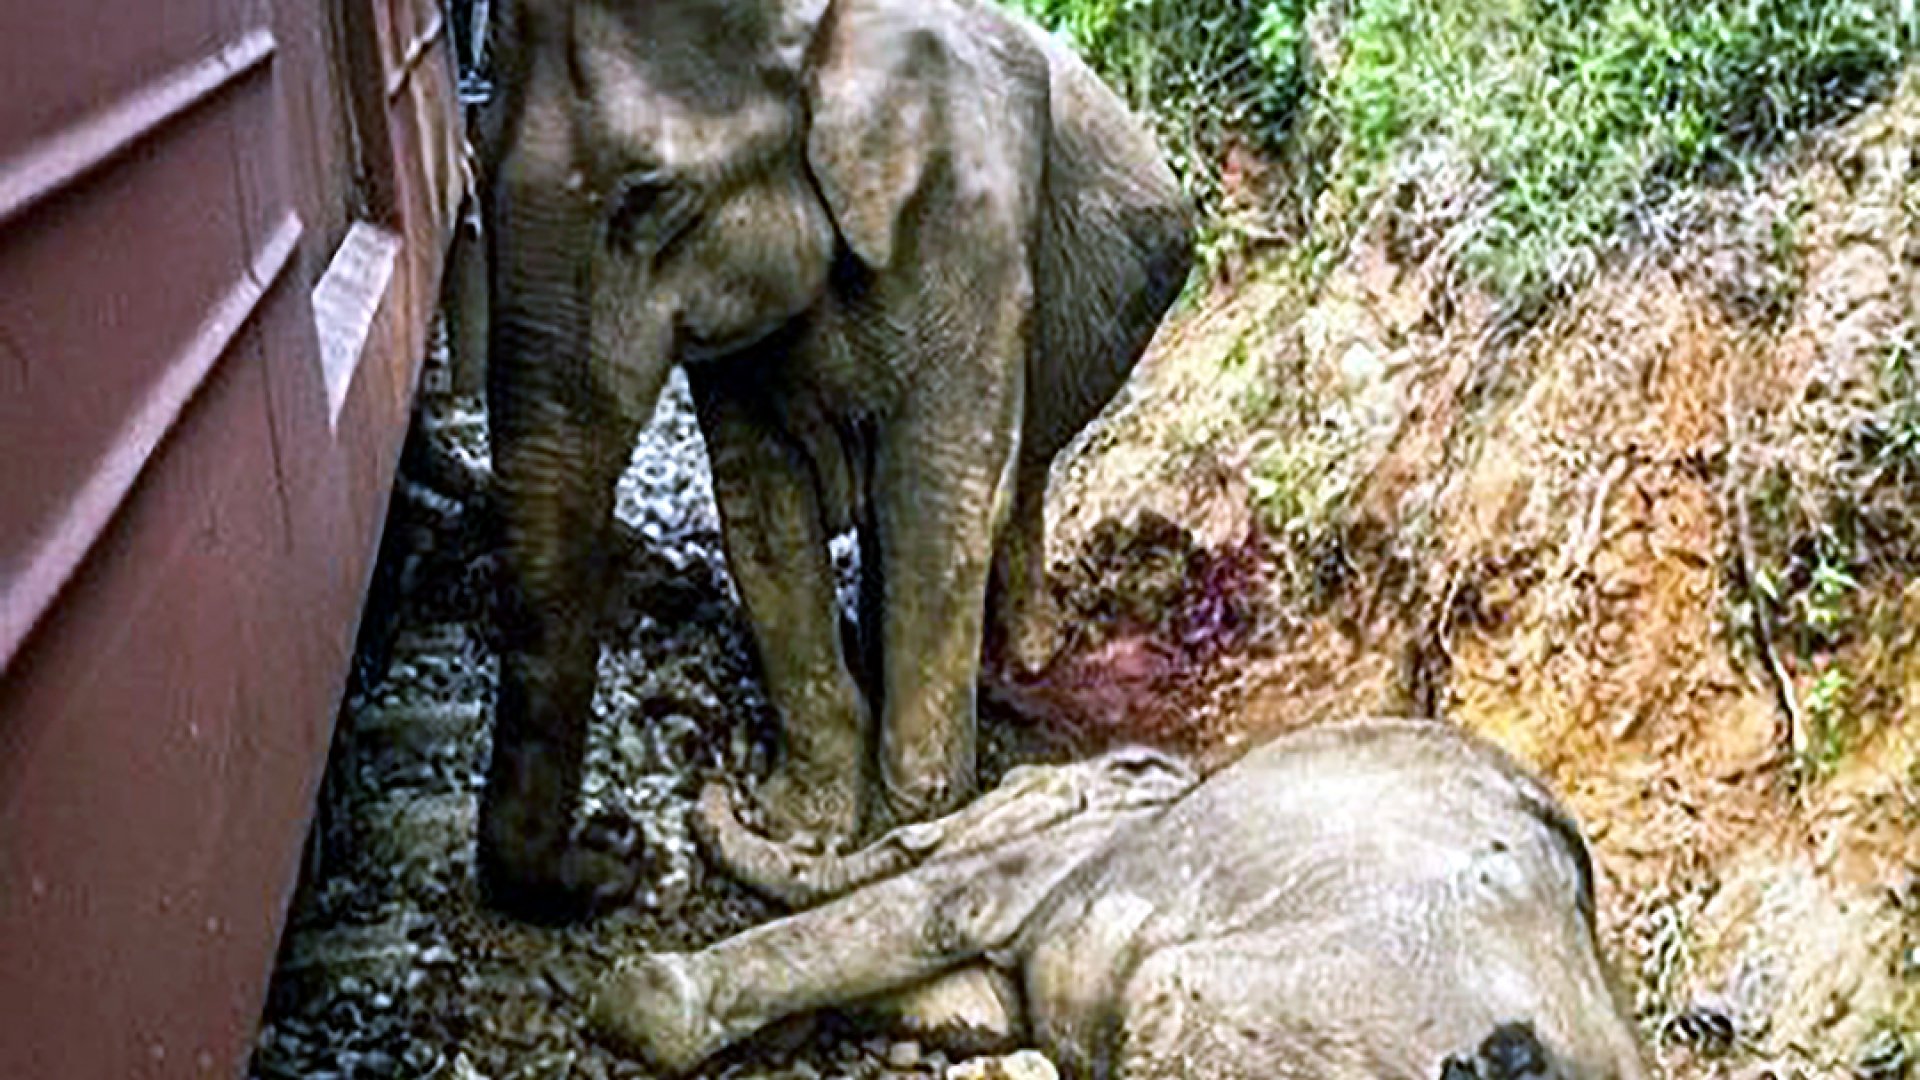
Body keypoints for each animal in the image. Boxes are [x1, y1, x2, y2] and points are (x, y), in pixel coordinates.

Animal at [473, 0, 1194, 920]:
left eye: (651, 197)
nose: (616, 843)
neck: (817, 31)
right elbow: (762, 509)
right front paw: (807, 826)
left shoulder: (970, 229)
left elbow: (937, 498)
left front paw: (915, 817)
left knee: (1018, 475)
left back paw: (1024, 659)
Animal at [589, 717, 1650, 1079]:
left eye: (1015, 786)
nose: (715, 773)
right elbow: (975, 1005)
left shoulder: (1075, 856)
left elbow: (939, 907)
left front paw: (636, 1006)